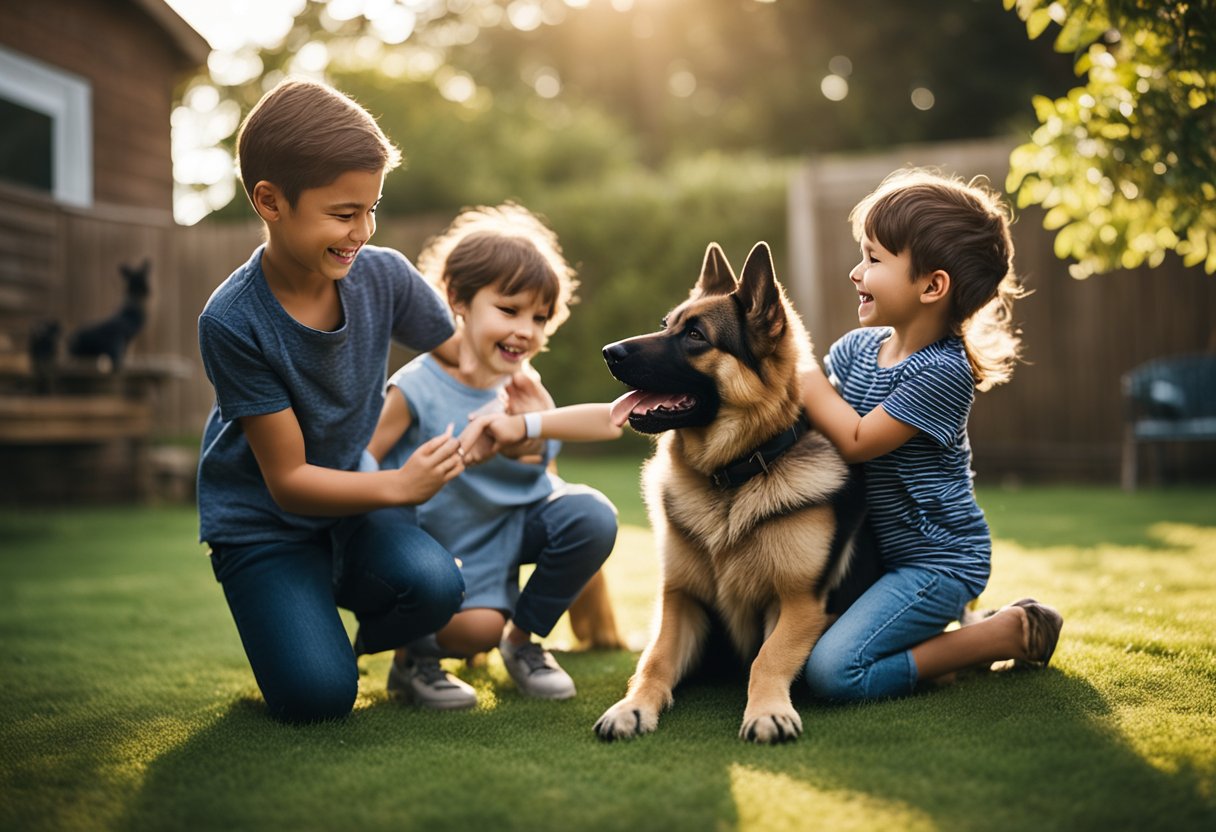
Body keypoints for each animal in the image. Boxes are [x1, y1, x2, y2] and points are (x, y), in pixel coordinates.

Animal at [590, 243, 860, 744]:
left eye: (695, 336)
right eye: (666, 325)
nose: (608, 352)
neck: (730, 479)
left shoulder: (799, 604)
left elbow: (768, 657)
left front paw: (767, 710)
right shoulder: (682, 601)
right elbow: (654, 660)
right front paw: (632, 707)